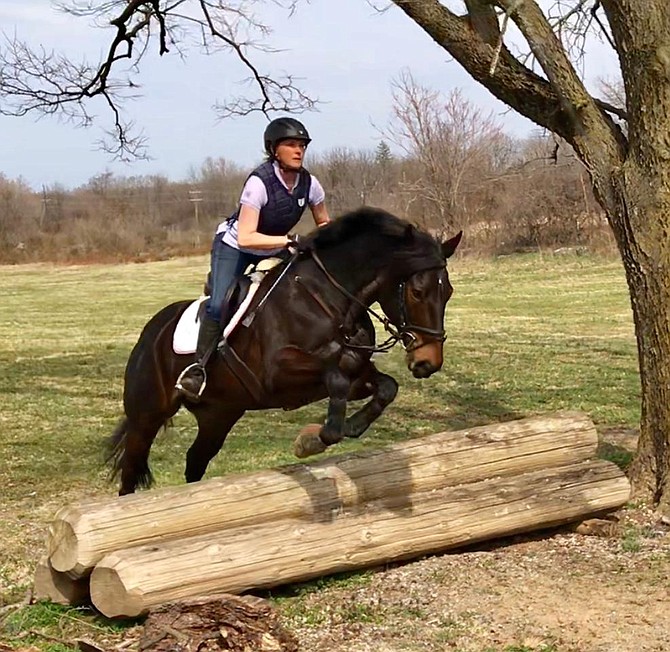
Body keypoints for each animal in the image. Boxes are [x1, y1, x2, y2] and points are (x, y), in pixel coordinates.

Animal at [107, 208, 464, 494]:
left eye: (448, 292)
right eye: (417, 292)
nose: (428, 362)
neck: (328, 299)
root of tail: (152, 331)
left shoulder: (356, 374)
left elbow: (385, 387)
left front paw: (337, 431)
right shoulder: (276, 375)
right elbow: (335, 380)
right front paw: (312, 440)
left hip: (218, 414)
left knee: (195, 460)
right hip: (147, 415)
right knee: (131, 469)